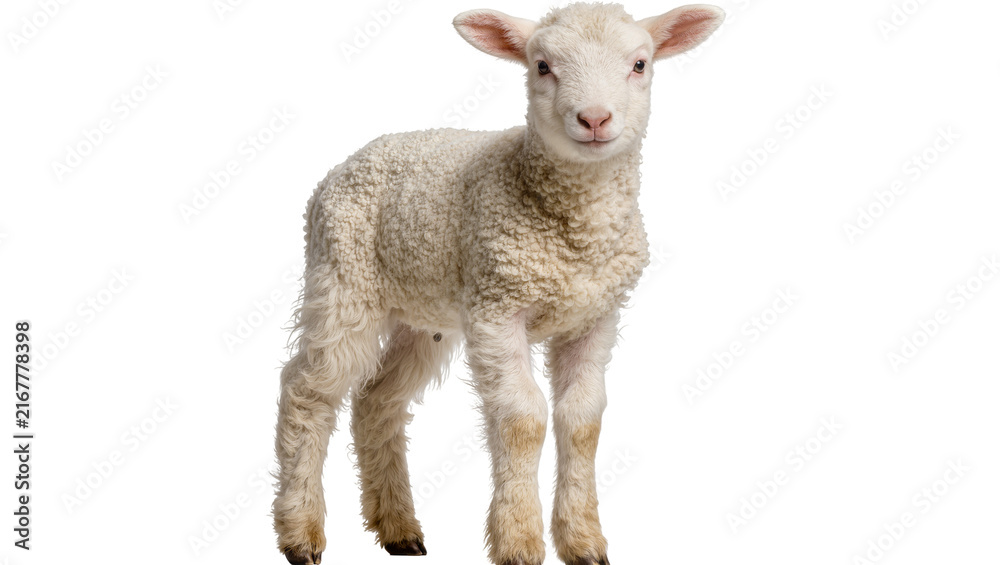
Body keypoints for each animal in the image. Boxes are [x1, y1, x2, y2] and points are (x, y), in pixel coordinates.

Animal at [272, 3, 725, 564]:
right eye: (542, 66)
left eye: (640, 64)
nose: (595, 119)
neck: (576, 234)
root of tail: (349, 162)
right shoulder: (498, 307)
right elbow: (523, 418)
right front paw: (519, 540)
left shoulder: (595, 315)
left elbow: (583, 419)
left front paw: (583, 540)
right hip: (342, 278)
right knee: (307, 393)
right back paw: (300, 532)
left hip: (423, 313)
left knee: (377, 400)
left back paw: (398, 527)